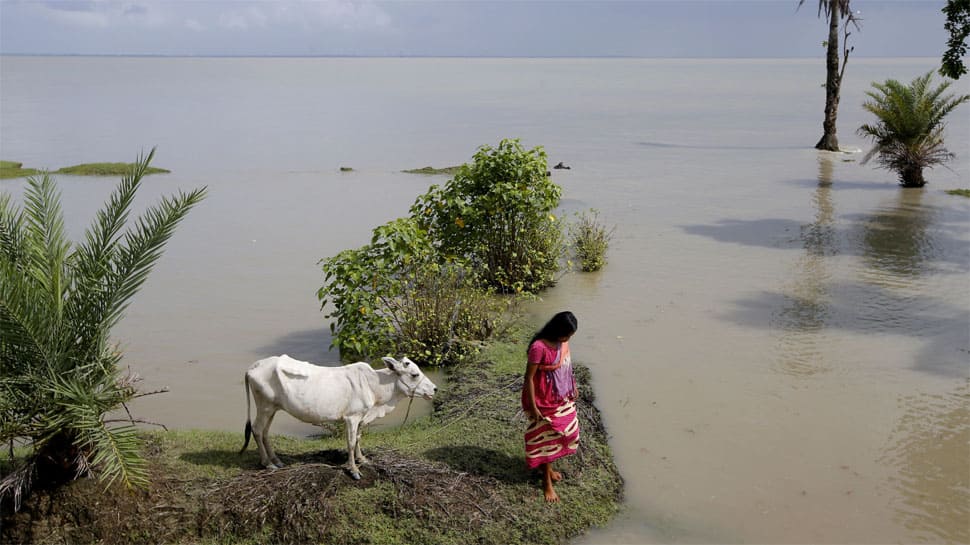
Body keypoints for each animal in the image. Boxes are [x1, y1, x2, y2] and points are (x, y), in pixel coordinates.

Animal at [240, 352, 436, 476]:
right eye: (414, 374)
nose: (434, 389)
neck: (374, 384)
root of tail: (252, 368)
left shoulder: (361, 417)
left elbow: (358, 438)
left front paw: (362, 459)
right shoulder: (352, 418)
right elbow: (350, 442)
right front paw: (354, 470)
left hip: (272, 408)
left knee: (265, 432)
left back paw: (276, 460)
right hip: (264, 406)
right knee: (257, 430)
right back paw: (268, 464)